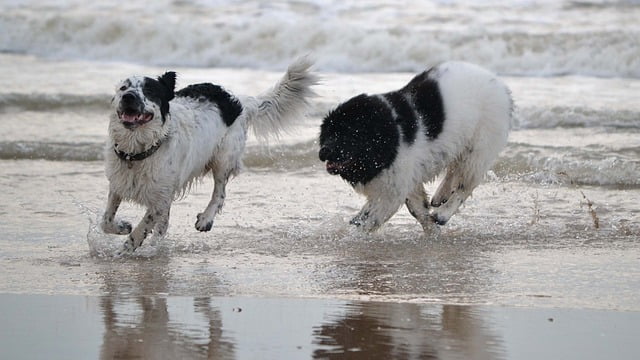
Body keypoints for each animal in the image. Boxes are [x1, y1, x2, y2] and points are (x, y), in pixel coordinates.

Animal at [102, 57, 318, 253]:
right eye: (123, 88)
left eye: (149, 91)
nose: (129, 96)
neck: (137, 151)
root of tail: (239, 102)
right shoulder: (119, 184)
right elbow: (106, 220)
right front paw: (122, 227)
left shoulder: (160, 199)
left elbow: (142, 227)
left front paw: (124, 250)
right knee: (164, 224)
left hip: (224, 158)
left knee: (220, 193)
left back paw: (205, 219)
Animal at [318, 60, 510, 232]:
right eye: (328, 133)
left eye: (347, 134)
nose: (322, 152)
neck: (389, 132)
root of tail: (500, 85)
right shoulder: (404, 179)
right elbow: (417, 209)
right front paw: (432, 230)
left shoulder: (395, 187)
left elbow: (374, 218)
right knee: (454, 170)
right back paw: (441, 195)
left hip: (479, 147)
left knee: (467, 184)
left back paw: (443, 213)